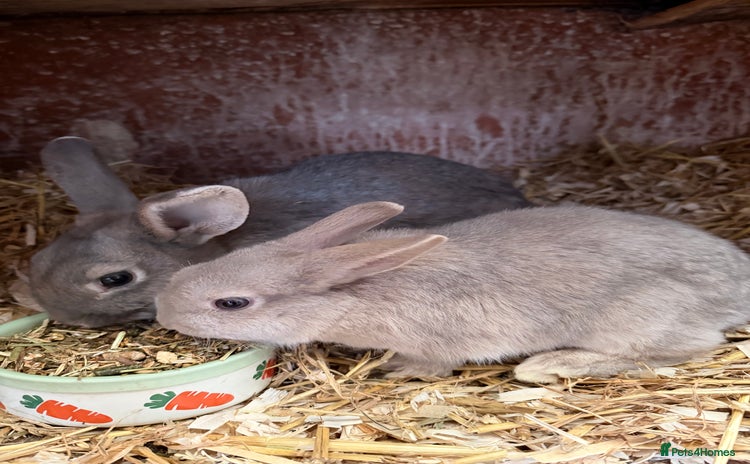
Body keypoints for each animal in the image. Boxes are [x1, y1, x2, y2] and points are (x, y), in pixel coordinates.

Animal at [155, 201, 750, 384]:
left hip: (637, 317)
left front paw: (400, 370)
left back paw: (549, 365)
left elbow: (433, 363)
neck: (357, 290)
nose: (162, 309)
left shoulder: (442, 341)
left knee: (687, 349)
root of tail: (736, 285)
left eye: (232, 303)